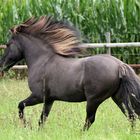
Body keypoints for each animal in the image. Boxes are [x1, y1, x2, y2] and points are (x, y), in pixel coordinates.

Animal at [0, 15, 140, 131]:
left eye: (8, 44)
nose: (2, 66)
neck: (42, 60)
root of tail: (120, 65)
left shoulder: (38, 96)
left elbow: (21, 105)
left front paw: (26, 126)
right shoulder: (49, 100)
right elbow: (42, 119)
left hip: (94, 100)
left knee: (90, 119)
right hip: (117, 97)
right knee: (131, 115)